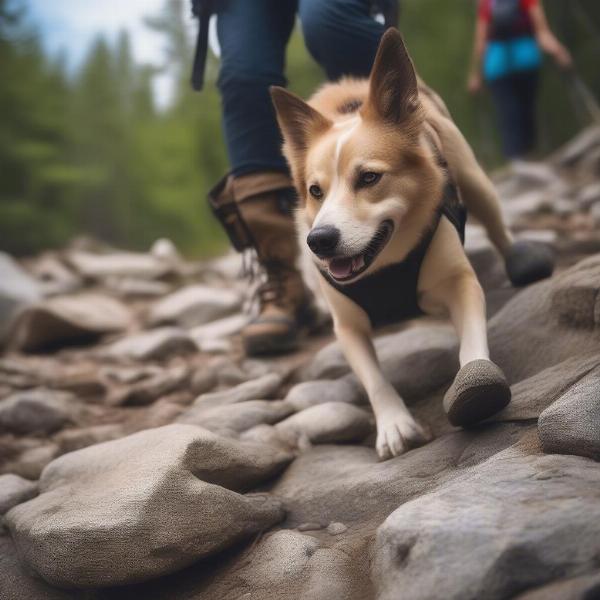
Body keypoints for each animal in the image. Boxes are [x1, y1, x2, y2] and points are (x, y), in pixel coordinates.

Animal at [270, 29, 552, 460]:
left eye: (369, 178)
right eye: (315, 191)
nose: (319, 241)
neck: (385, 264)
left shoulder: (460, 283)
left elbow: (472, 341)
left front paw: (475, 386)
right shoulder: (347, 326)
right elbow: (374, 379)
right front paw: (394, 425)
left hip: (474, 180)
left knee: (497, 225)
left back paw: (521, 260)